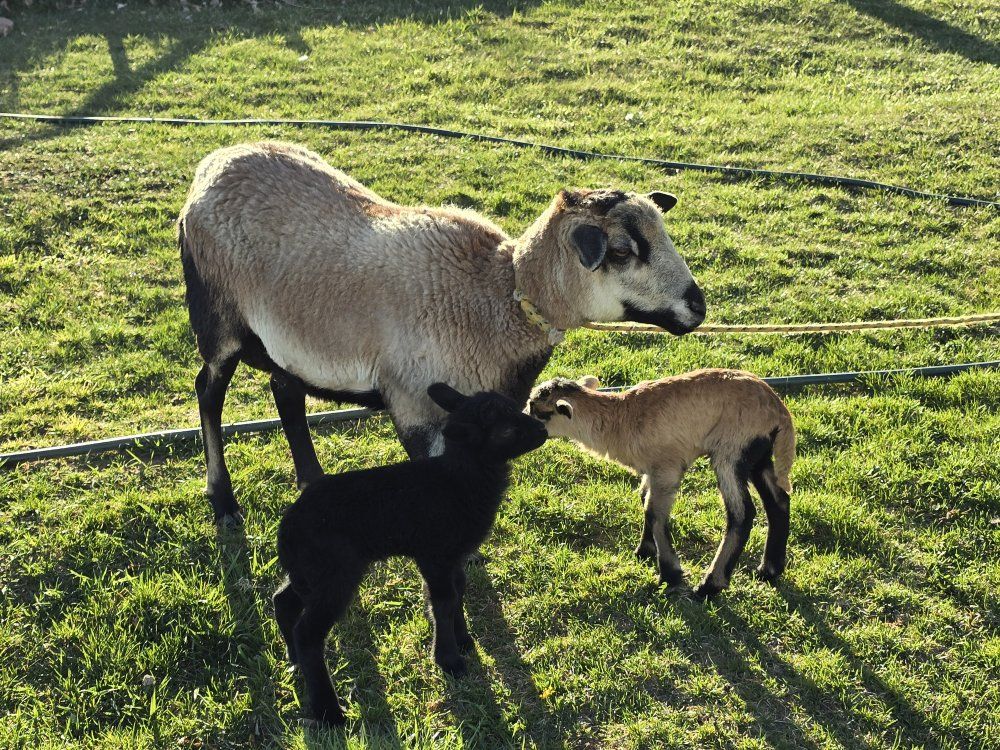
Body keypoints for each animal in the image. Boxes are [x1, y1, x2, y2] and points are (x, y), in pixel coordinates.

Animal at [178, 141, 705, 523]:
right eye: (620, 251)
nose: (697, 306)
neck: (498, 298)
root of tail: (214, 163)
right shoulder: (417, 407)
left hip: (288, 335)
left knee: (284, 388)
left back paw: (311, 479)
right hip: (219, 320)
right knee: (208, 391)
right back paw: (223, 502)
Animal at [273, 383, 548, 726]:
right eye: (507, 430)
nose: (544, 430)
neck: (459, 480)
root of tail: (286, 531)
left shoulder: (453, 554)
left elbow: (458, 591)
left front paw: (463, 640)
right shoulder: (433, 553)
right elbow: (442, 601)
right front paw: (448, 659)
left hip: (310, 572)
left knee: (282, 601)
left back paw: (293, 660)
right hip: (335, 575)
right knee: (308, 633)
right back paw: (329, 712)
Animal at [527, 370, 794, 599]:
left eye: (539, 411)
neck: (619, 420)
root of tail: (779, 412)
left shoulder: (667, 467)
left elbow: (655, 513)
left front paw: (670, 573)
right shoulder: (652, 469)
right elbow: (645, 499)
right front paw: (645, 551)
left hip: (731, 448)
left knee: (742, 513)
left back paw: (709, 586)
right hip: (758, 454)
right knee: (778, 500)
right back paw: (769, 570)